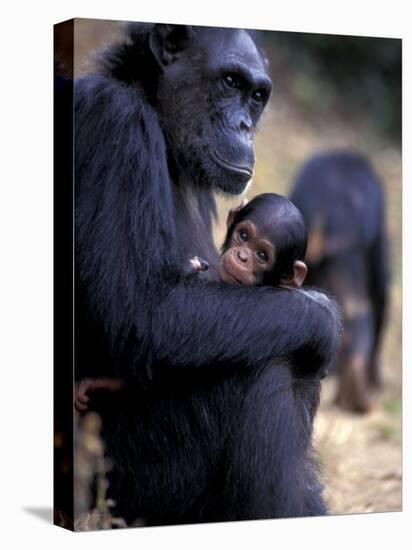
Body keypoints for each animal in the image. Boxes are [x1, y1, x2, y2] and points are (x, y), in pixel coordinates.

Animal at [73, 23, 342, 528]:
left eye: (257, 96)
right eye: (230, 82)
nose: (244, 126)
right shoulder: (114, 123)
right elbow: (145, 315)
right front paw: (324, 316)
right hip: (126, 485)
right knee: (265, 365)